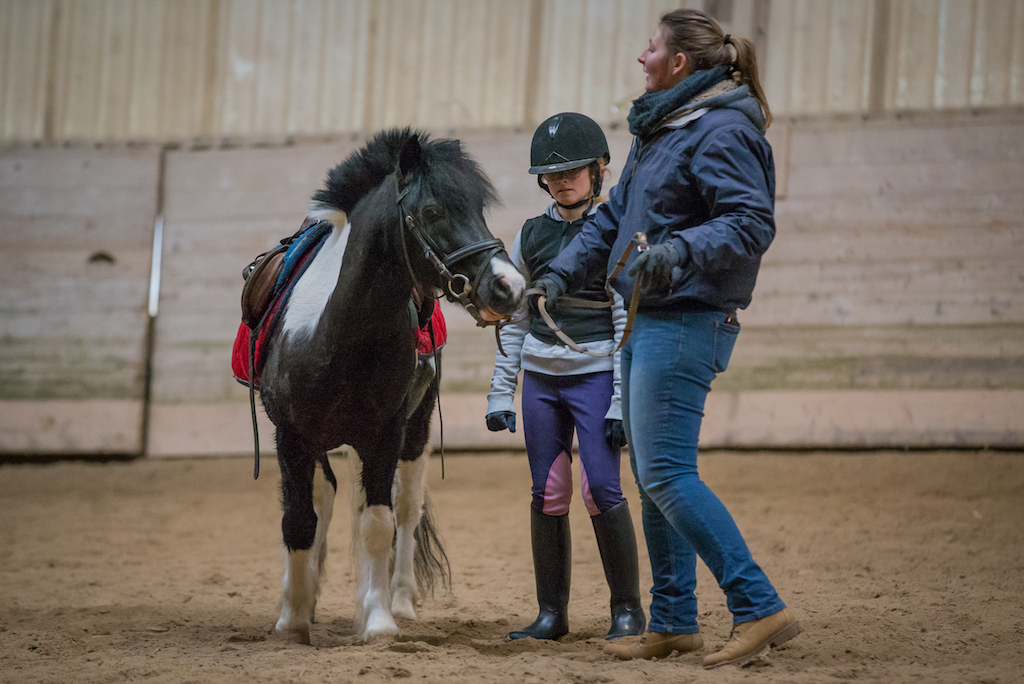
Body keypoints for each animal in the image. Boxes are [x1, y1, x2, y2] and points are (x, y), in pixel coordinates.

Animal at [256, 129, 528, 647]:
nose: (510, 286)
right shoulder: (292, 437)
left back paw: (398, 599)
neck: (338, 334)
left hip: (414, 432)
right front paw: (293, 618)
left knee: (405, 510)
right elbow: (298, 520)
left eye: (479, 209)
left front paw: (379, 620)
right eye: (434, 211)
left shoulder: (385, 435)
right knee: (324, 497)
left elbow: (379, 524)